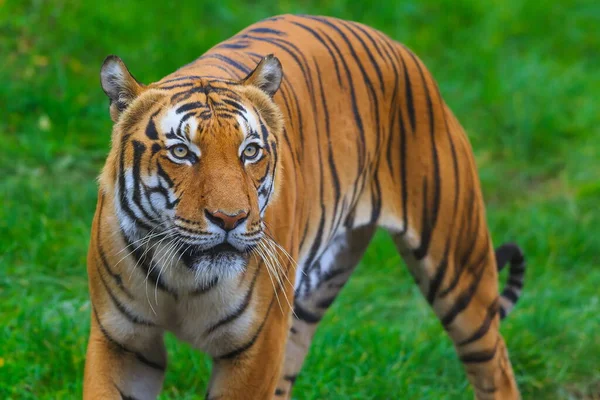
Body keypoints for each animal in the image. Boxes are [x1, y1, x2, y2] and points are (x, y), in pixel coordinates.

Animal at [83, 12, 524, 400]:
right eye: (181, 152)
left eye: (250, 151)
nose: (230, 219)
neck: (183, 273)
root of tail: (398, 46)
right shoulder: (123, 340)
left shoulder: (256, 346)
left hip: (459, 269)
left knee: (497, 366)